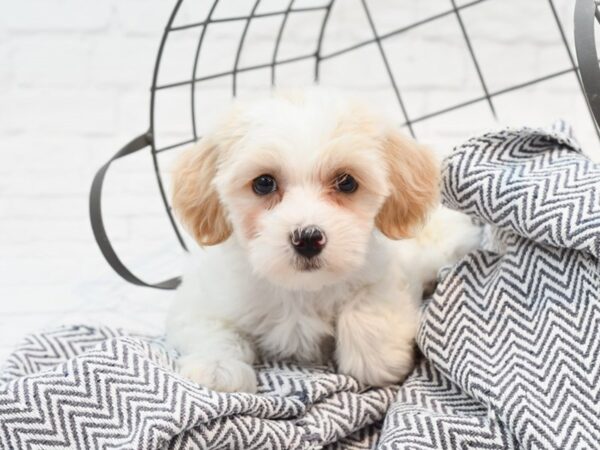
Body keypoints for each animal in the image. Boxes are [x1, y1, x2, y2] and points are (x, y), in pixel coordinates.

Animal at [164, 92, 478, 394]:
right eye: (264, 183)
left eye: (346, 182)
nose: (307, 239)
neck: (300, 288)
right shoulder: (200, 299)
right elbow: (212, 329)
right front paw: (217, 368)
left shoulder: (390, 269)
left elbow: (368, 302)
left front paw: (377, 360)